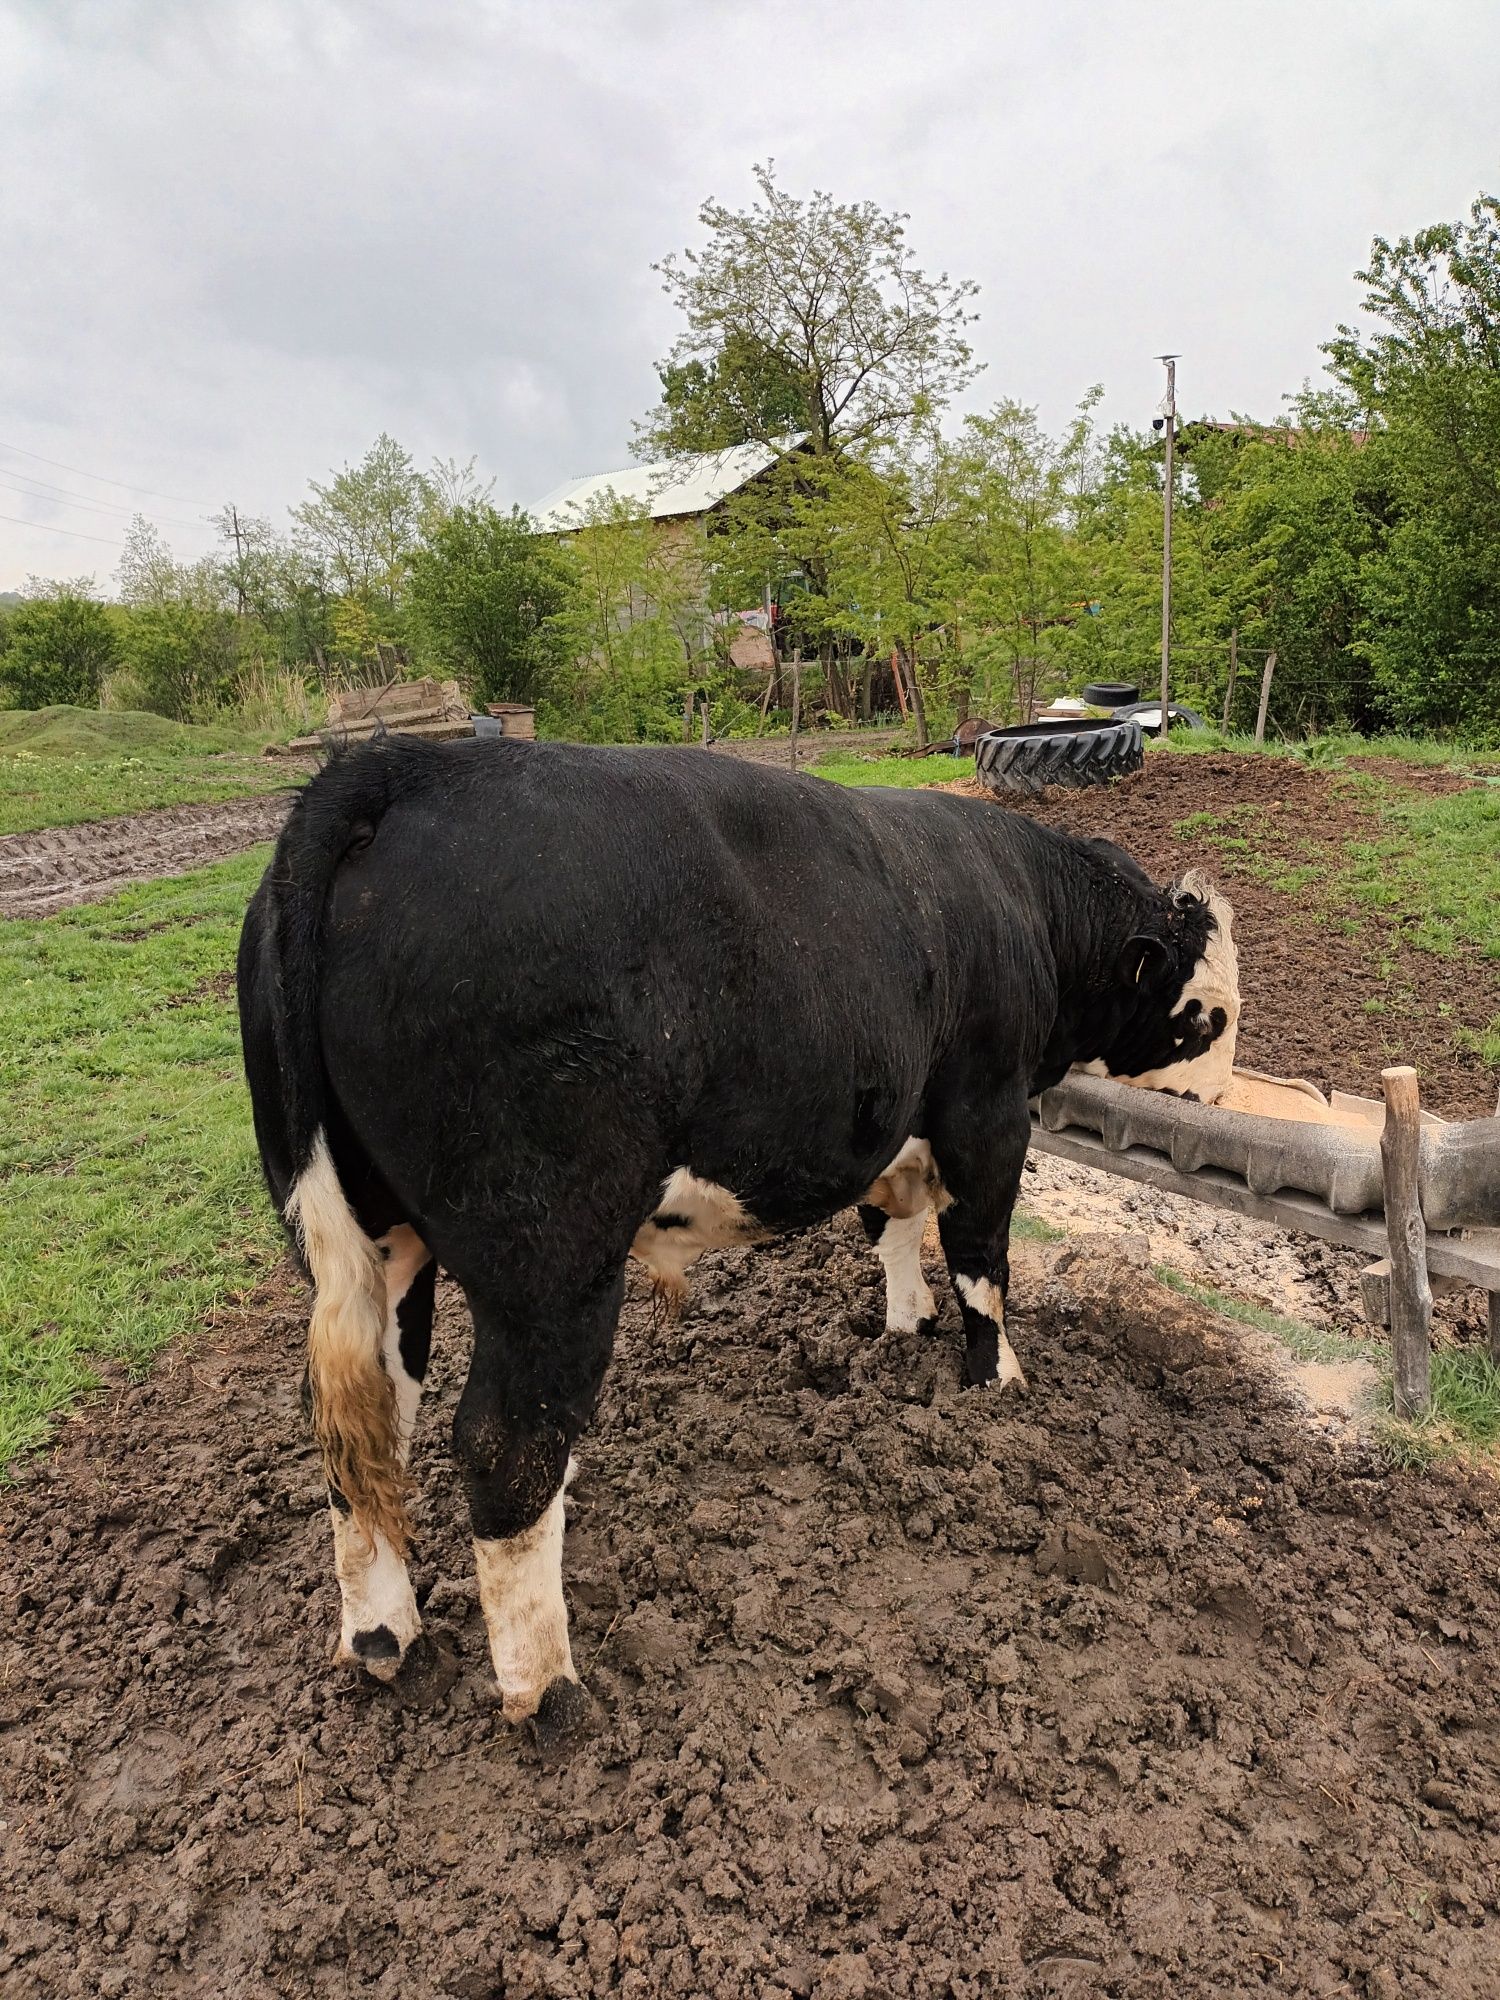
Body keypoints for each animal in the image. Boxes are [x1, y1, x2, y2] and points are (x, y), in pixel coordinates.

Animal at [241, 744, 1240, 1728]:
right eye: (1208, 1014)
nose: (1217, 1100)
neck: (1021, 902)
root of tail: (401, 766)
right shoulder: (987, 1115)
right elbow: (980, 1260)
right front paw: (998, 1381)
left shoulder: (888, 1121)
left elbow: (893, 1226)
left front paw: (904, 1323)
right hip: (549, 1261)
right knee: (501, 1441)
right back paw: (548, 1691)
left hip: (372, 1242)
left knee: (367, 1419)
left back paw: (384, 1638)